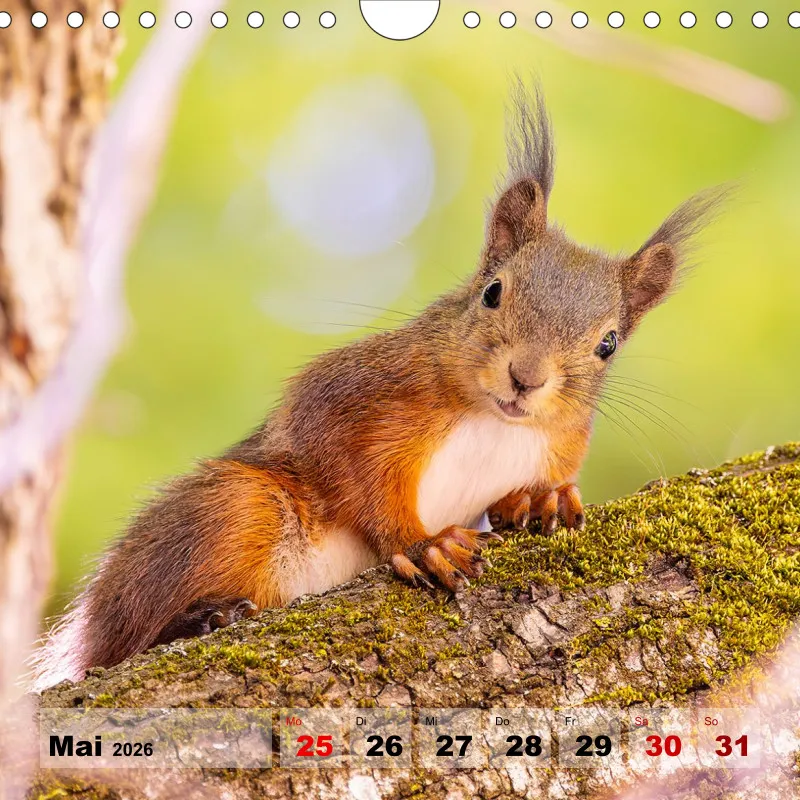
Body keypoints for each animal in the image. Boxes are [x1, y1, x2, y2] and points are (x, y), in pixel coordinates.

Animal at [33, 83, 722, 690]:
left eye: (609, 343)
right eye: (492, 291)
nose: (526, 378)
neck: (491, 420)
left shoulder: (560, 442)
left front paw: (539, 500)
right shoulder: (354, 393)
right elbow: (351, 469)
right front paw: (419, 543)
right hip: (233, 509)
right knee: (118, 645)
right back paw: (200, 619)